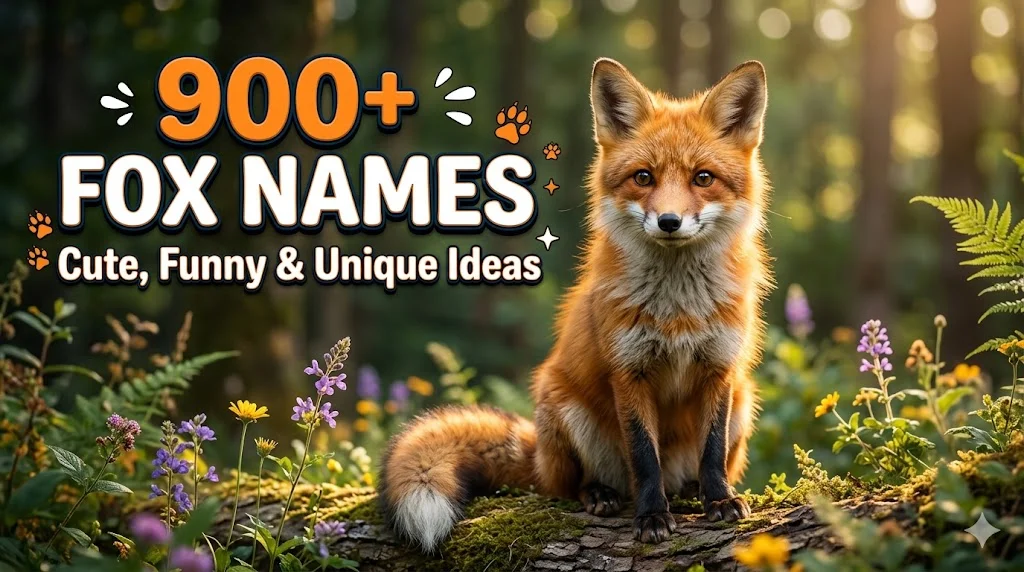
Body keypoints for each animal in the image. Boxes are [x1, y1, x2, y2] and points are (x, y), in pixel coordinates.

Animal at [378, 57, 771, 552]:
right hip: (565, 408)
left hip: (744, 398)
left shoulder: (719, 370)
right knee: (571, 486)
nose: (669, 221)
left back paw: (691, 490)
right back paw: (601, 494)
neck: (678, 311)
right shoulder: (628, 371)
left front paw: (719, 500)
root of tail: (539, 456)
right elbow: (644, 457)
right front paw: (651, 517)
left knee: (691, 468)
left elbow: (712, 450)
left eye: (703, 178)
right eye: (644, 177)